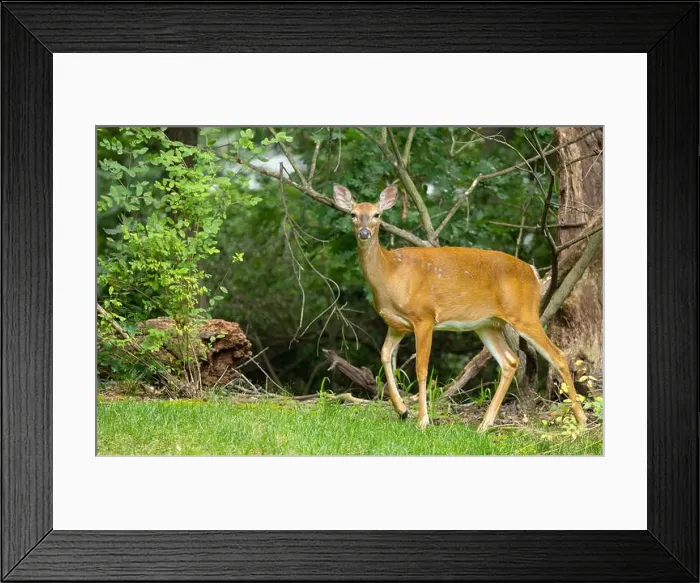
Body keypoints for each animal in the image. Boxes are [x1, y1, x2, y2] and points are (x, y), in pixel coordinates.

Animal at [333, 183, 588, 432]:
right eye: (353, 214)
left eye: (377, 215)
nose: (364, 233)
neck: (390, 273)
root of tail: (533, 272)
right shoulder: (396, 324)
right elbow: (385, 355)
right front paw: (402, 410)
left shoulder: (424, 317)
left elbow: (421, 368)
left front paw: (423, 421)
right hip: (487, 324)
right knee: (510, 361)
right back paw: (484, 425)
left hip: (523, 313)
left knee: (557, 355)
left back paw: (582, 420)